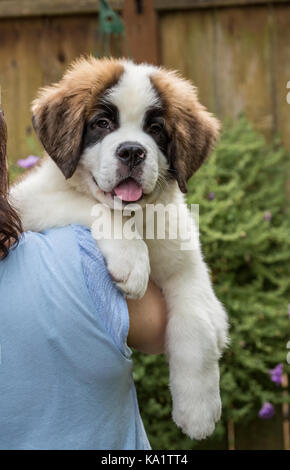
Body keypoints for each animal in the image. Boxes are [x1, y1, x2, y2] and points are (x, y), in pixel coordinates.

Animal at [10, 56, 229, 440]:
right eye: (102, 123)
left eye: (155, 129)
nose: (131, 151)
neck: (138, 216)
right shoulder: (28, 201)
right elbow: (90, 205)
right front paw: (131, 258)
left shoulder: (187, 266)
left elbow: (198, 324)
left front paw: (199, 409)